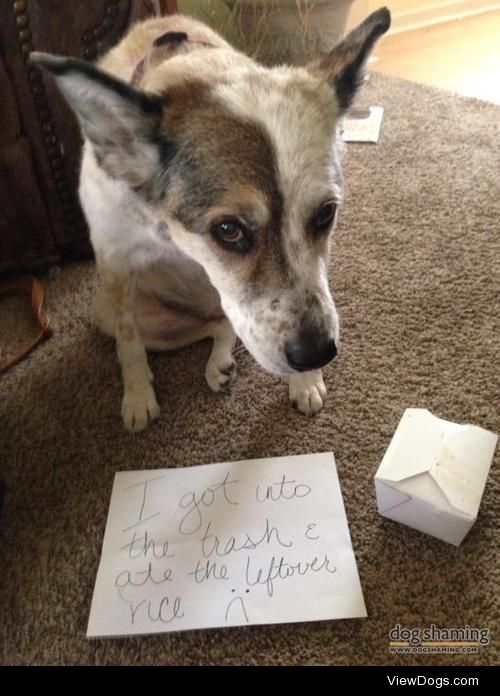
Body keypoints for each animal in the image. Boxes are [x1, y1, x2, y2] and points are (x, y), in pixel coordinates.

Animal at [32, 6, 390, 430]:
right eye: (228, 230)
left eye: (325, 214)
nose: (317, 355)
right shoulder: (116, 263)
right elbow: (129, 342)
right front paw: (137, 396)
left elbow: (315, 291)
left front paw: (305, 383)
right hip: (116, 312)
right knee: (204, 325)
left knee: (223, 323)